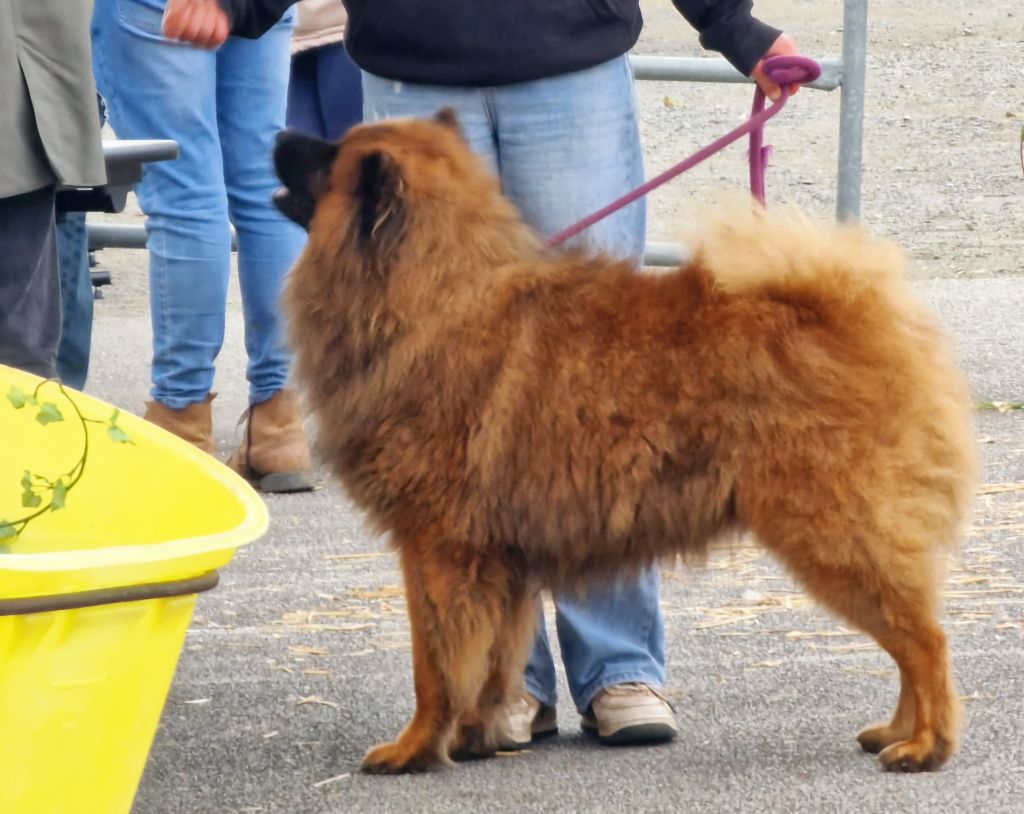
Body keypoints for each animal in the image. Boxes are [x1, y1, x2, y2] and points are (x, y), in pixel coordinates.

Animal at [272, 110, 974, 778]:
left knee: (926, 641)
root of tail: (855, 314)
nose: (278, 135)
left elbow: (435, 668)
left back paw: (925, 746)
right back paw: (895, 732)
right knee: (911, 641)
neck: (432, 294)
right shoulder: (500, 561)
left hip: (834, 534)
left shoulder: (437, 549)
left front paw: (414, 749)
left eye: (329, 155)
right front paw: (477, 736)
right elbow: (493, 662)